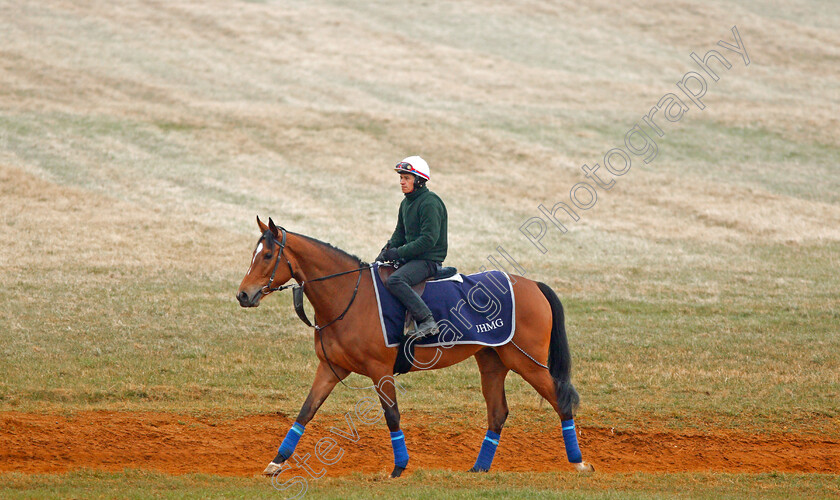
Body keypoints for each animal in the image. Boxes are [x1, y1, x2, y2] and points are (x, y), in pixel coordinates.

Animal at [233, 217, 592, 478]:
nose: (243, 295)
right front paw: (277, 461)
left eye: (268, 256)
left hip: (527, 362)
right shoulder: (331, 369)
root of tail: (532, 285)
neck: (349, 294)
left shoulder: (380, 371)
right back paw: (479, 468)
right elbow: (306, 411)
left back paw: (578, 462)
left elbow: (392, 416)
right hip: (493, 361)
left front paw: (399, 467)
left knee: (561, 401)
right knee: (497, 413)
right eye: (253, 255)